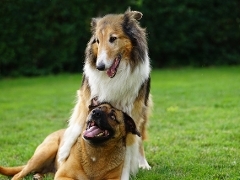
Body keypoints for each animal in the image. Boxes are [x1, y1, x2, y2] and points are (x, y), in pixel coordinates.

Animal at [0, 102, 140, 180]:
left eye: (112, 116)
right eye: (99, 107)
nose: (95, 112)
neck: (95, 152)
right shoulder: (63, 176)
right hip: (45, 152)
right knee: (17, 175)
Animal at [58, 8, 152, 179]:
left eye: (113, 38)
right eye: (97, 41)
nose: (100, 66)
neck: (114, 77)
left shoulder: (132, 112)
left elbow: (129, 148)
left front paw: (126, 172)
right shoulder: (87, 98)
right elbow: (77, 126)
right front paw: (63, 154)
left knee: (139, 139)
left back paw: (143, 163)